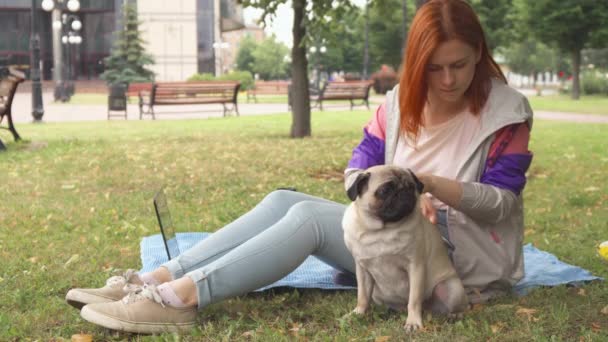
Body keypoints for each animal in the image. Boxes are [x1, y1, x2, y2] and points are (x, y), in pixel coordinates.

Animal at [344, 166, 468, 332]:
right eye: (385, 190)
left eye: (411, 187)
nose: (404, 191)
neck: (382, 231)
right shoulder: (362, 270)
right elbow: (362, 296)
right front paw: (358, 313)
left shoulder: (415, 267)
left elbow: (414, 300)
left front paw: (413, 322)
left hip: (452, 288)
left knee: (459, 306)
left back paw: (455, 315)